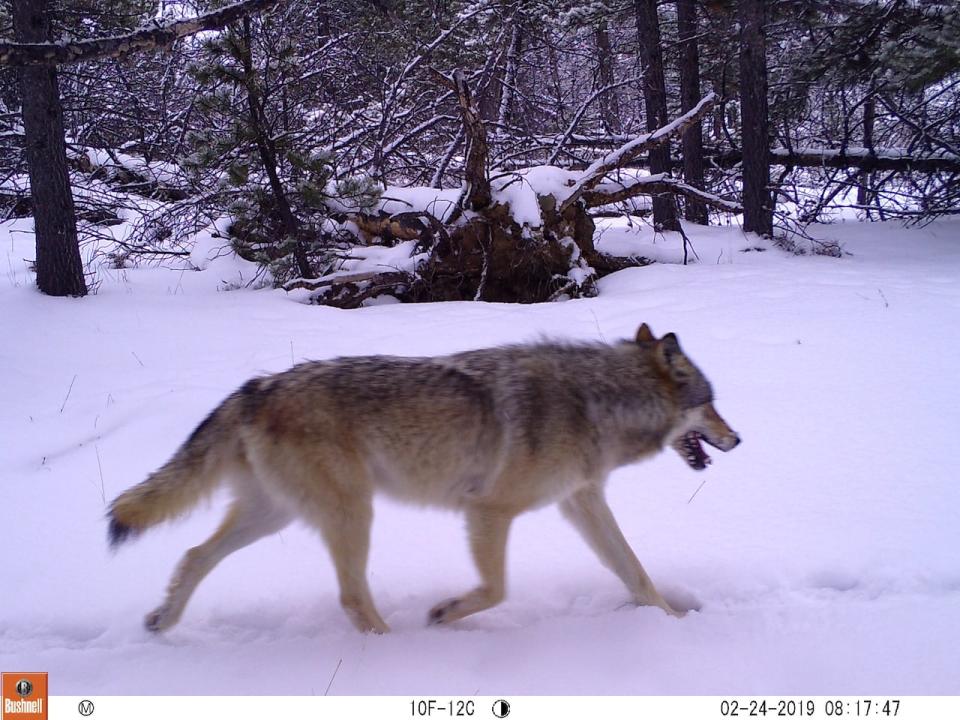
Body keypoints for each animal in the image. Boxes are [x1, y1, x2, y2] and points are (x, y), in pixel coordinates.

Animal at [110, 324, 744, 632]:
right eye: (712, 403)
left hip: (276, 515)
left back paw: (162, 622)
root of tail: (255, 388)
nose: (739, 440)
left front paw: (672, 622)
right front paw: (443, 615)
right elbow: (496, 589)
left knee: (194, 555)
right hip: (351, 514)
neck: (597, 401)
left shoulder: (580, 502)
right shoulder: (488, 510)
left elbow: (636, 573)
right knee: (350, 597)